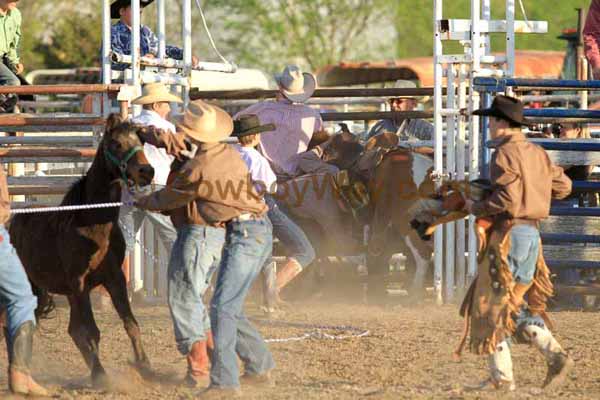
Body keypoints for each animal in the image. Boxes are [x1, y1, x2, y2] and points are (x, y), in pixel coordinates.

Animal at [8, 114, 155, 386]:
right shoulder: (80, 283)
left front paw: (146, 367)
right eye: (116, 143)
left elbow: (130, 323)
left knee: (68, 328)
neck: (91, 222)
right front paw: (101, 375)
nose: (146, 171)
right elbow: (91, 331)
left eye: (140, 141)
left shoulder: (114, 279)